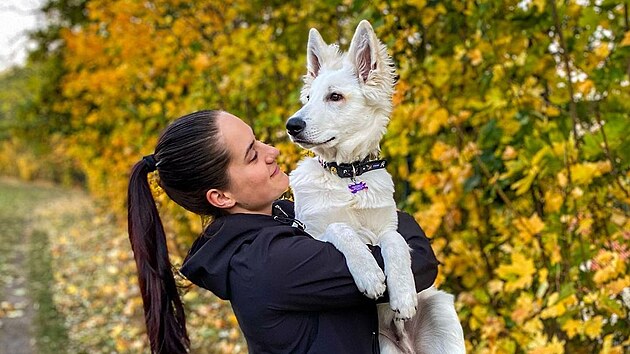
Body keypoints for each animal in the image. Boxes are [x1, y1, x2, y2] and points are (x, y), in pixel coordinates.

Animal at [288, 20, 466, 354]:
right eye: (307, 99)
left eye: (334, 97)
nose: (292, 126)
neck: (347, 175)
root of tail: (406, 344)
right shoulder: (312, 231)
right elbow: (341, 229)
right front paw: (369, 272)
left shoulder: (388, 225)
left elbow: (395, 241)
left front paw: (404, 293)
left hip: (440, 311)